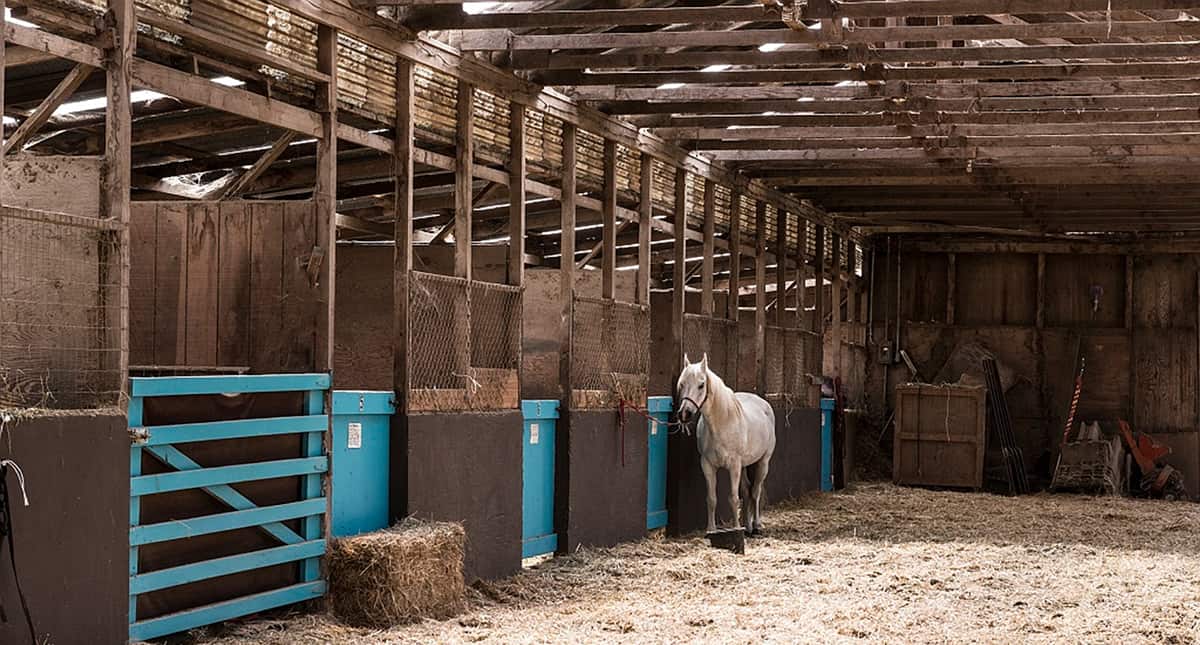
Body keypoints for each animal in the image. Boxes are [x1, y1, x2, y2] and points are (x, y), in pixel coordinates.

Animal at [676, 353, 776, 536]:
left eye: (701, 385)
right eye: (682, 384)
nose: (684, 414)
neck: (721, 424)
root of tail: (763, 403)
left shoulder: (734, 466)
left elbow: (733, 498)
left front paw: (735, 528)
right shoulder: (707, 465)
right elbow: (712, 498)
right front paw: (711, 530)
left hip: (763, 462)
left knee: (756, 491)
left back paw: (756, 526)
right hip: (745, 465)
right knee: (747, 490)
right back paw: (747, 526)